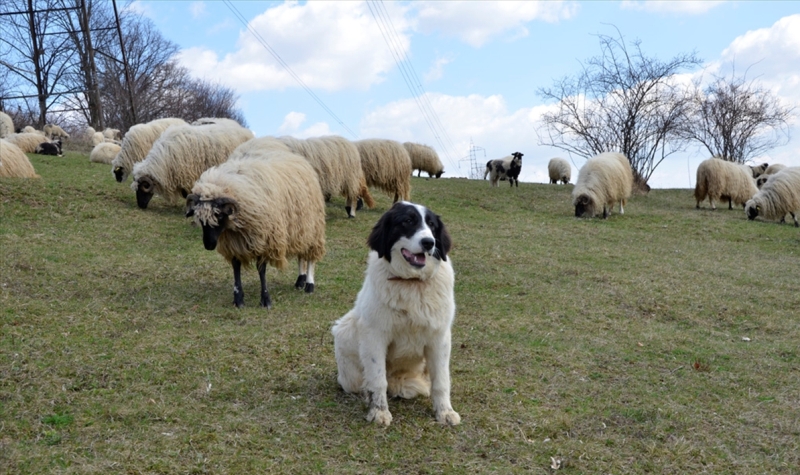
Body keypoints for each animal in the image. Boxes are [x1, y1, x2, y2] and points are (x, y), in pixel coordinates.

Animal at [186, 151, 326, 310]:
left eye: (220, 215)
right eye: (200, 219)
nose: (209, 245)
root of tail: (297, 157)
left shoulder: (264, 240)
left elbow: (261, 269)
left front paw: (265, 299)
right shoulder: (233, 242)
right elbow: (236, 267)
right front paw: (238, 299)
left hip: (313, 228)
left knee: (310, 257)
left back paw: (309, 284)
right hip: (300, 229)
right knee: (301, 255)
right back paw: (300, 280)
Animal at [330, 202, 456, 428]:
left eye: (432, 225)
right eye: (407, 221)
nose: (428, 242)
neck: (411, 283)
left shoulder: (439, 338)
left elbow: (441, 380)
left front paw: (445, 412)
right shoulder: (374, 336)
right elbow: (377, 379)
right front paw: (379, 412)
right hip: (345, 334)